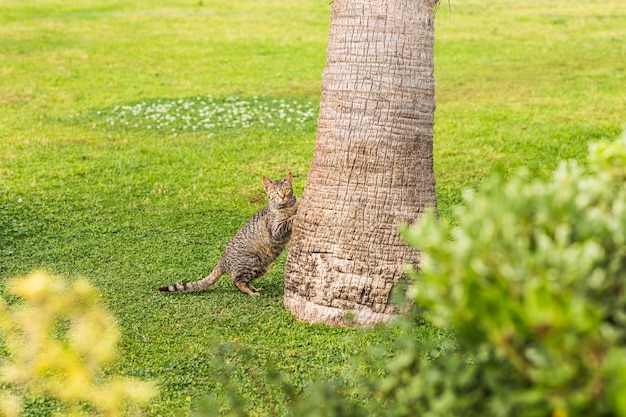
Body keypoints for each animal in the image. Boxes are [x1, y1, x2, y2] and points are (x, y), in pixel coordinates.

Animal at [160, 172, 298, 296]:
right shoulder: (276, 230)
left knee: (242, 281)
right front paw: (295, 215)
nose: (282, 196)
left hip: (260, 268)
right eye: (275, 192)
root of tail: (223, 260)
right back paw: (251, 293)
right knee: (237, 282)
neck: (287, 206)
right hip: (250, 264)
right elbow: (288, 220)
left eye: (286, 189)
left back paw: (253, 288)